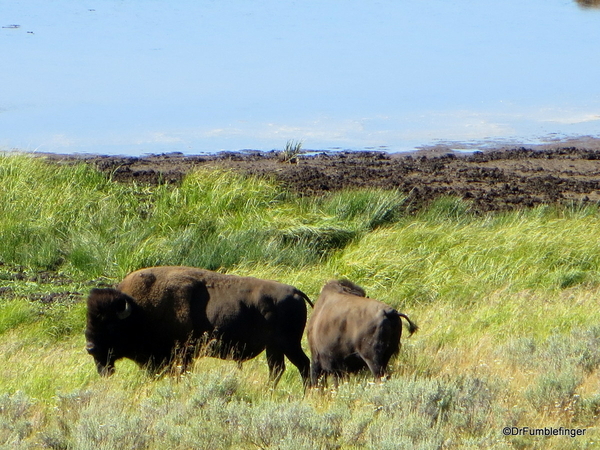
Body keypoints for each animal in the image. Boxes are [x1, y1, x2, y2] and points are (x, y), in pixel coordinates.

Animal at [86, 266, 312, 384]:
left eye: (110, 325)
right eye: (89, 319)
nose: (90, 348)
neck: (139, 310)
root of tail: (295, 292)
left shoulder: (182, 356)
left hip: (287, 345)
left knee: (301, 365)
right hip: (275, 348)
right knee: (279, 369)